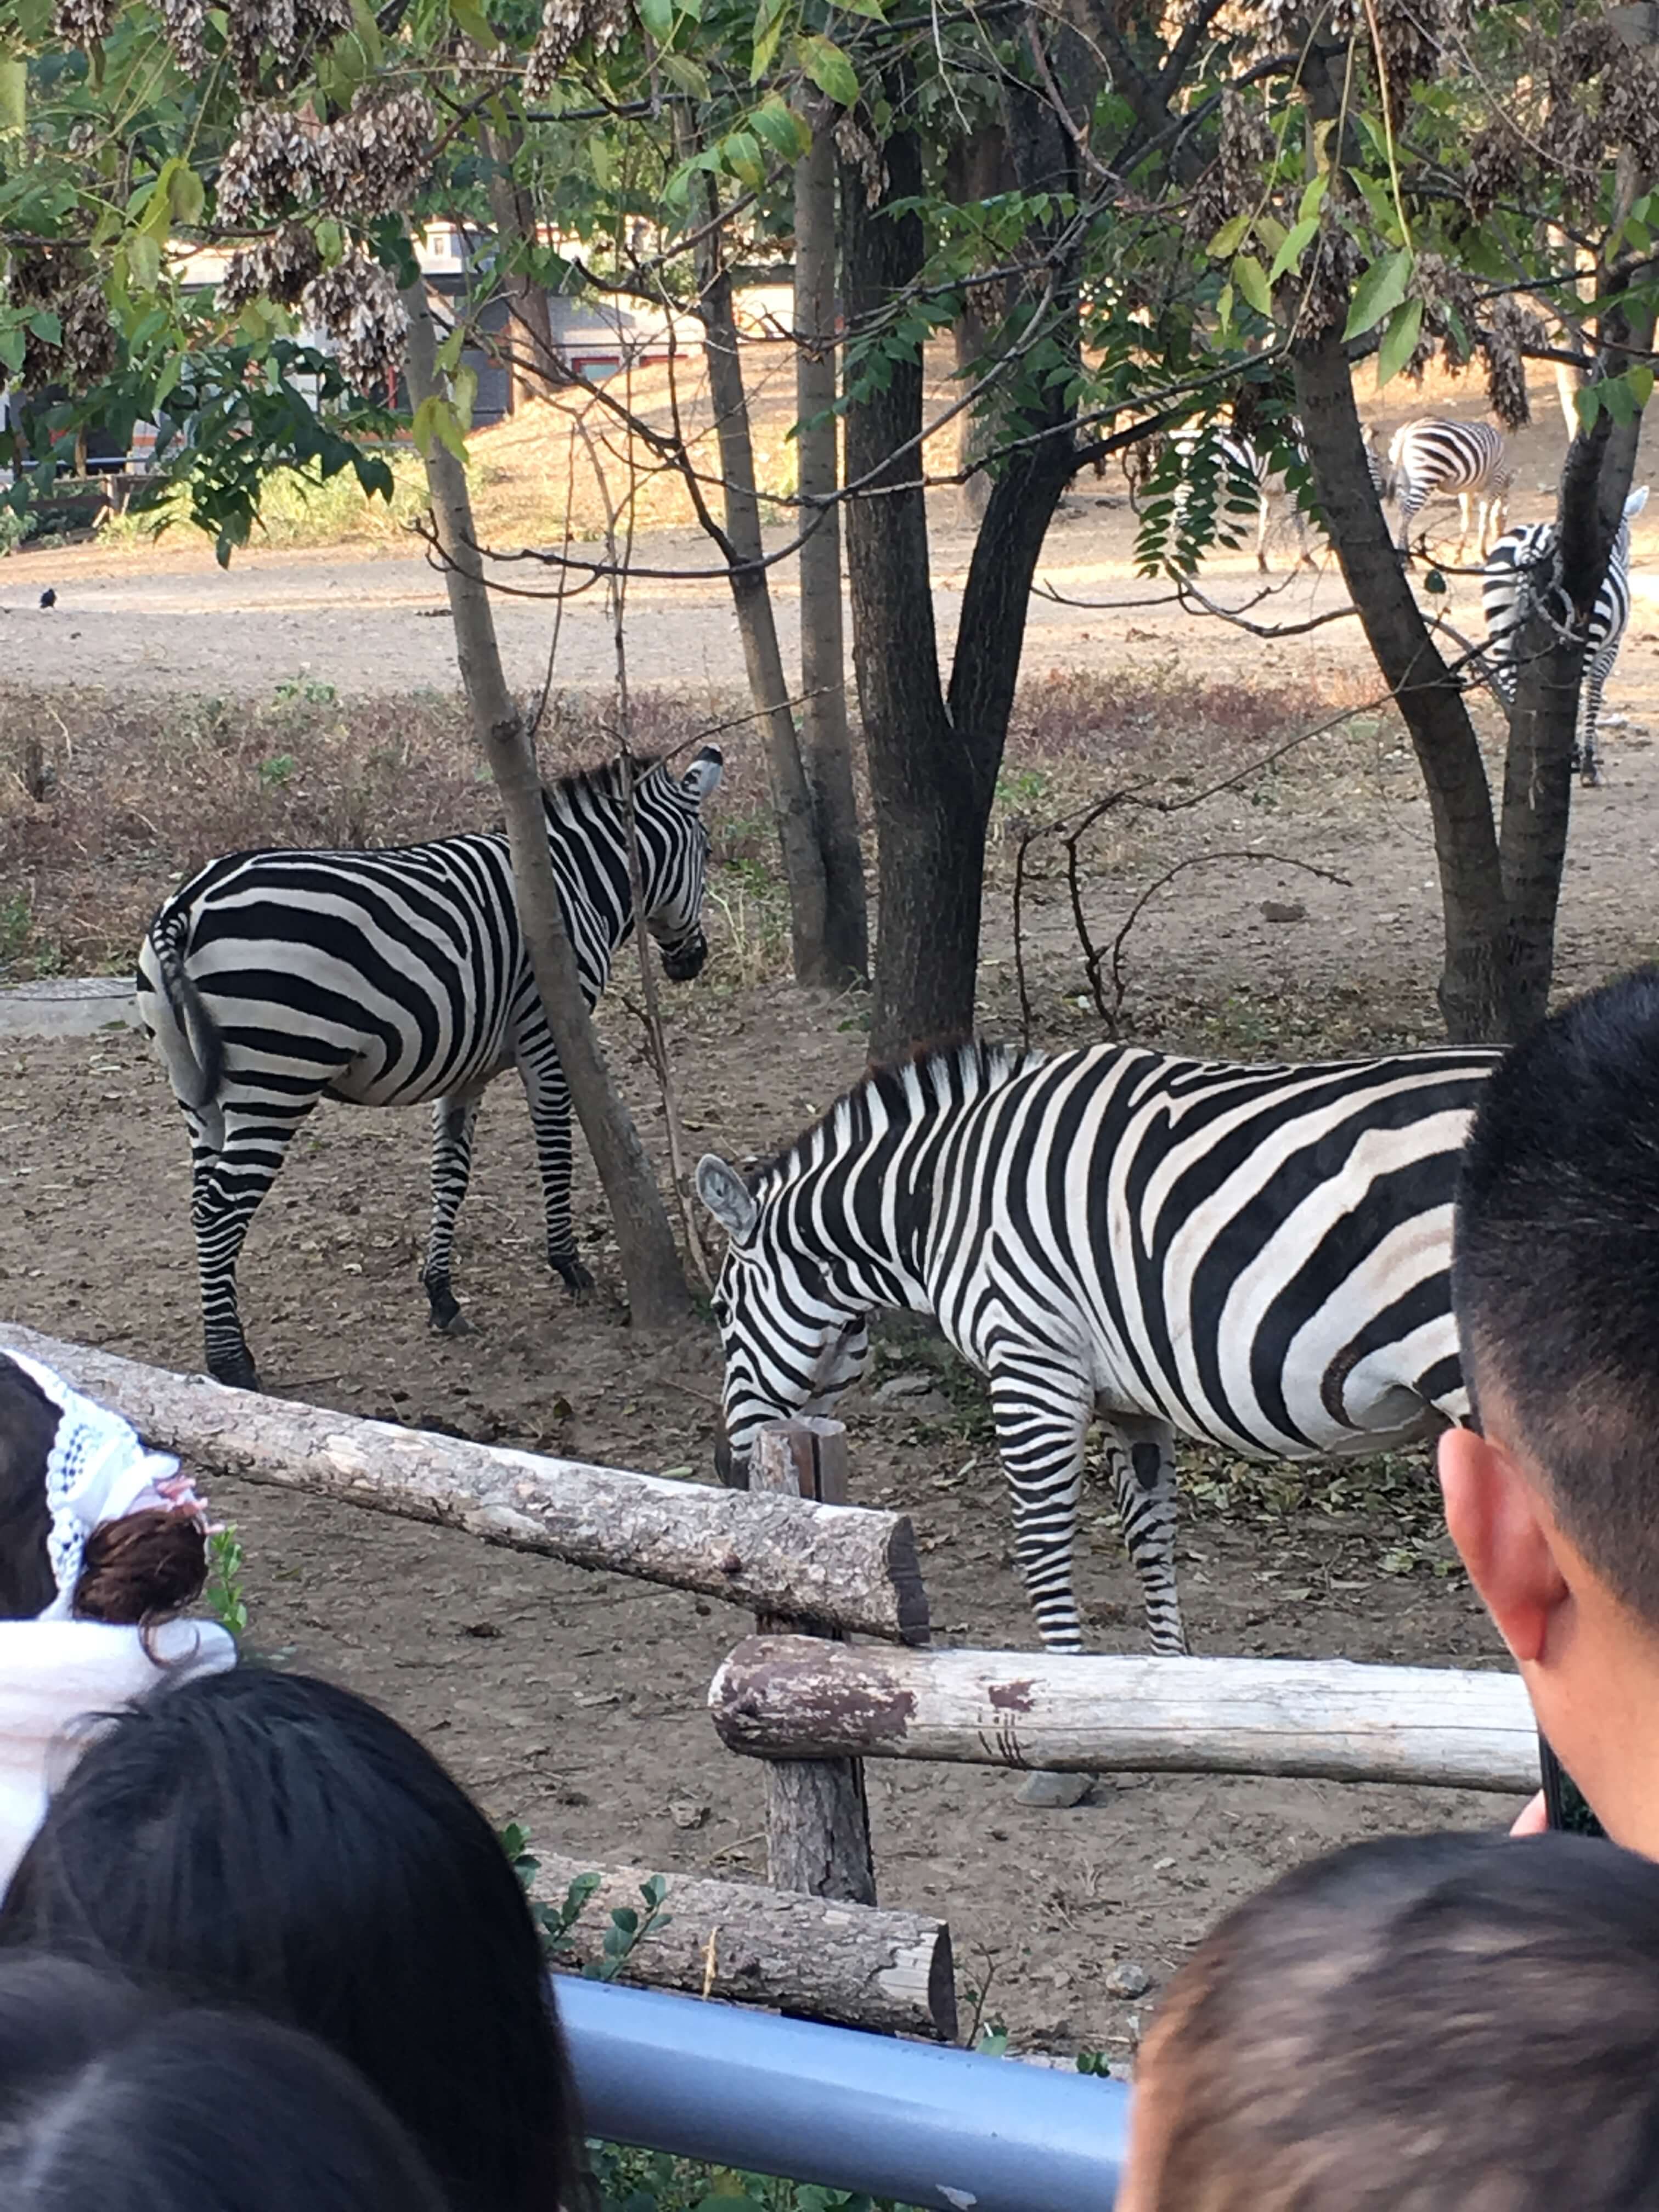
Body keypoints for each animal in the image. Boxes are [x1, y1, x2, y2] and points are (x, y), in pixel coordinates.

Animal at [134, 752, 721, 1389]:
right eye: (707, 854)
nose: (693, 962)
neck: (572, 878)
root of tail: (187, 904)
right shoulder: (546, 1035)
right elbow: (555, 1152)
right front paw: (568, 1265)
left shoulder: (466, 1067)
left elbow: (450, 1174)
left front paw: (441, 1295)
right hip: (279, 1076)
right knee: (221, 1206)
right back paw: (230, 1361)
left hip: (195, 1087)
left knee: (201, 1202)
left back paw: (224, 1342)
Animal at [699, 1040, 1495, 1796]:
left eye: (721, 1310)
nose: (726, 1465)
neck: (940, 1198)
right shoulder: (1128, 1395)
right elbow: (1150, 1535)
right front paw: (1169, 1695)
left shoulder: (1032, 1361)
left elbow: (1041, 1539)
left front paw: (1053, 1746)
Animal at [1389, 416, 1522, 562]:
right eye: (1506, 517)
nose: (1501, 537)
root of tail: (1408, 430)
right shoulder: (1494, 483)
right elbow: (1485, 518)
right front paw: (1482, 553)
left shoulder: (1467, 490)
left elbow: (1466, 519)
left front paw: (1458, 553)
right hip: (1426, 477)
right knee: (1405, 516)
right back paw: (1405, 559)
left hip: (1404, 481)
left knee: (1402, 513)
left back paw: (1409, 556)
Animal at [1477, 489, 1654, 792]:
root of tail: (1532, 543)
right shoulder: (1610, 647)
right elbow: (1593, 695)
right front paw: (1589, 765)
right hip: (1584, 629)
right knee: (1572, 689)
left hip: (1500, 625)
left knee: (1512, 687)